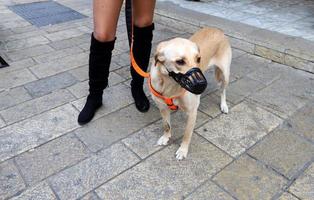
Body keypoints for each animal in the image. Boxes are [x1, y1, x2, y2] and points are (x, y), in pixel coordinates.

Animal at [150, 27, 231, 160]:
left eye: (198, 59)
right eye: (180, 61)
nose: (202, 84)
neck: (170, 85)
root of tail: (216, 29)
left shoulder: (192, 112)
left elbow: (187, 134)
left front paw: (183, 150)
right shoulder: (162, 107)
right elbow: (166, 125)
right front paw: (166, 137)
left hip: (225, 74)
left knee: (223, 90)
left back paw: (224, 105)